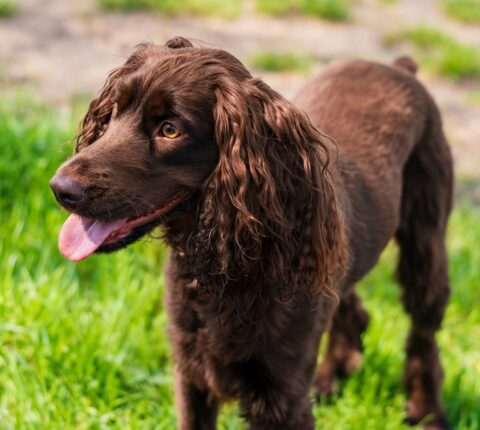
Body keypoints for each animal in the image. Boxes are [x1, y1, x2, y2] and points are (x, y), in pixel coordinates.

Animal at [50, 38, 452, 428]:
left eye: (170, 129)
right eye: (114, 111)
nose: (60, 188)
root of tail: (399, 67)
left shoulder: (282, 399)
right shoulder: (191, 374)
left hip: (426, 245)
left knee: (424, 339)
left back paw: (428, 413)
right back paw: (330, 379)